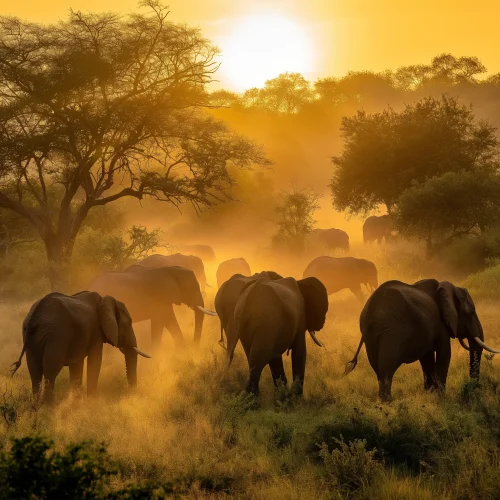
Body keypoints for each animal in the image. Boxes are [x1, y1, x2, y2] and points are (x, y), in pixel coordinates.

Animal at [10, 290, 150, 402]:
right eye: (129, 323)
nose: (130, 394)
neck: (104, 300)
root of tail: (35, 315)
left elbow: (77, 365)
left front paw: (76, 401)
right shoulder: (96, 332)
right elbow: (95, 361)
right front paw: (91, 401)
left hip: (30, 337)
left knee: (35, 372)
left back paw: (36, 405)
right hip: (56, 336)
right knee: (50, 371)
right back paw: (48, 406)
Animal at [87, 266, 215, 348]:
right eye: (192, 288)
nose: (195, 346)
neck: (171, 270)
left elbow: (169, 321)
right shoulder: (159, 299)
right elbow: (160, 322)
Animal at [344, 280, 500, 400]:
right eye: (471, 312)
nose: (475, 388)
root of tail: (370, 312)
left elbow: (427, 359)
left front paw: (429, 395)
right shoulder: (440, 324)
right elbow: (444, 355)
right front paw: (441, 397)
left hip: (370, 336)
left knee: (377, 368)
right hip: (391, 332)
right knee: (386, 368)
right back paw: (388, 402)